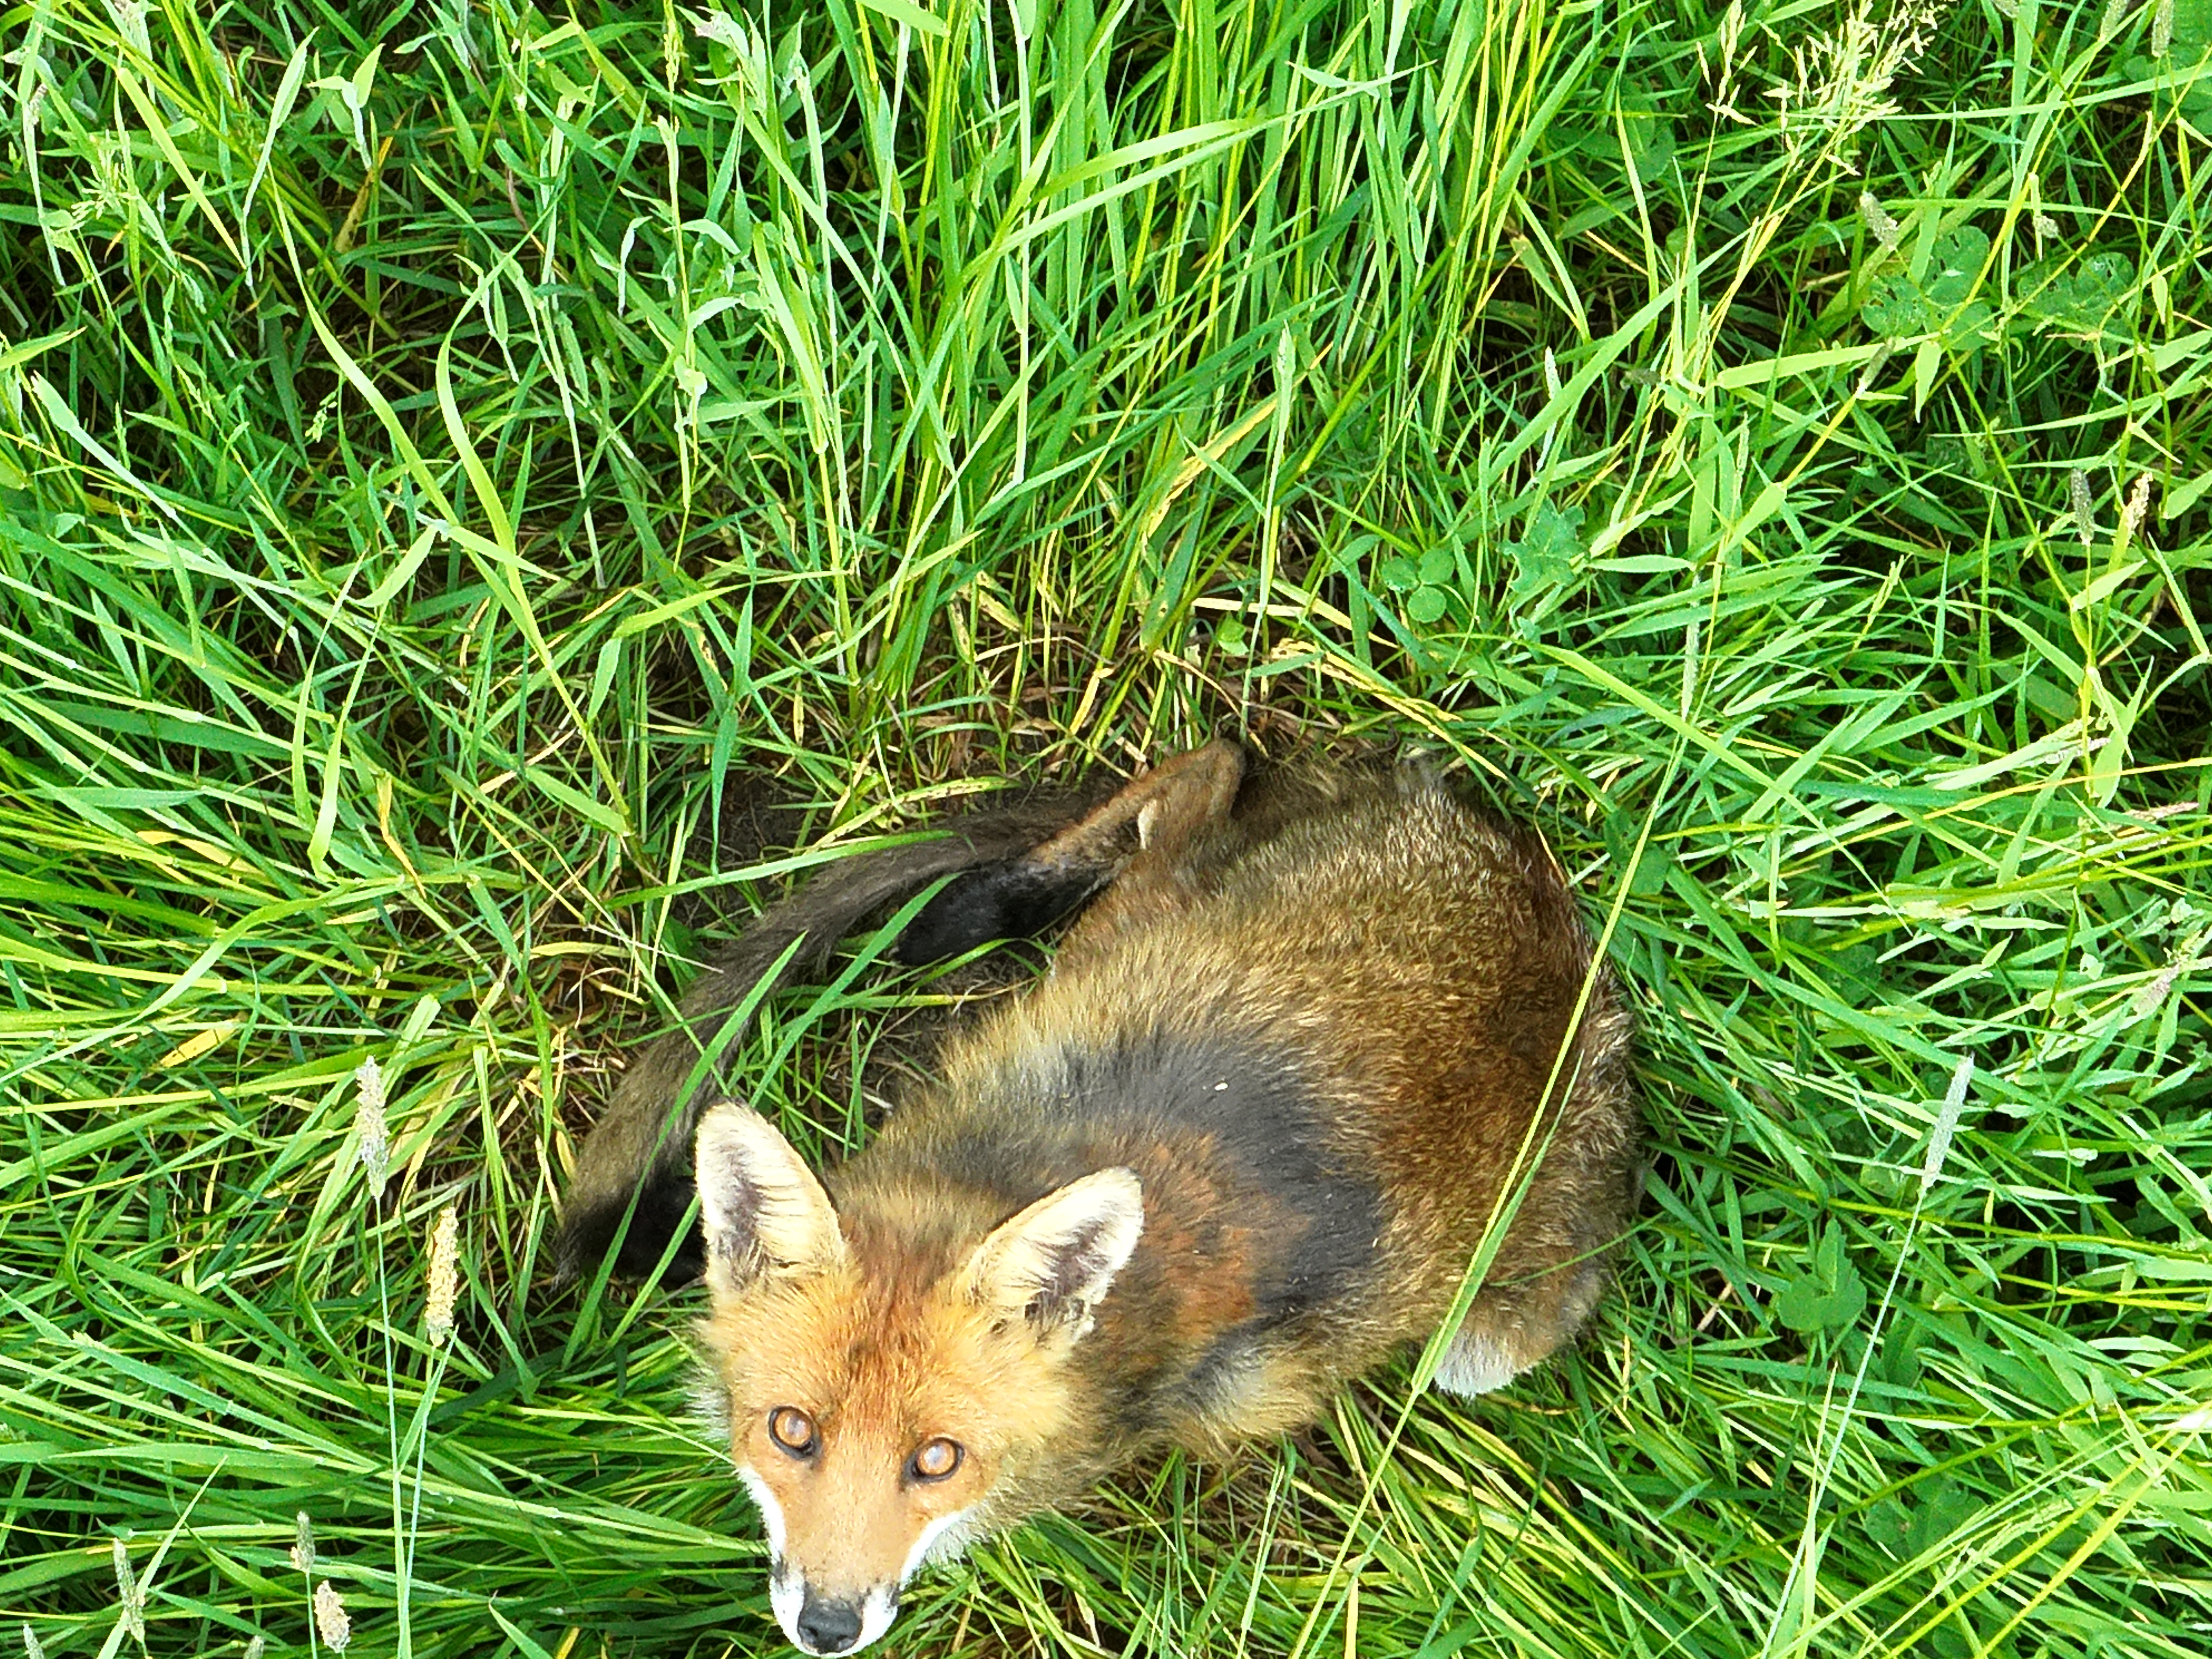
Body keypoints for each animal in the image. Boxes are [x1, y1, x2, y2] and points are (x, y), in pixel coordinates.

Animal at [561, 739, 1641, 1656]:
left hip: (1485, 1347)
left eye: (939, 1459)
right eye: (793, 1431)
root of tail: (1535, 894)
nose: (829, 1627)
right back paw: (973, 909)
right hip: (1152, 905)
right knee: (1213, 765)